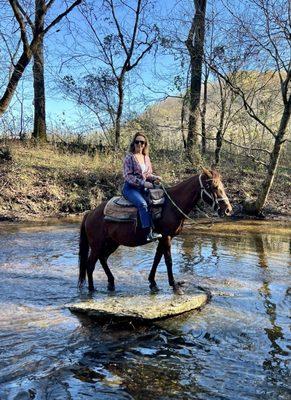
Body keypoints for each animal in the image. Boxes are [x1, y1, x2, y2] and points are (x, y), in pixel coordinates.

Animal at [79, 168, 233, 294]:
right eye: (214, 187)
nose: (228, 209)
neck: (171, 206)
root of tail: (90, 213)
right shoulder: (166, 237)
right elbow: (168, 260)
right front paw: (175, 286)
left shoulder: (161, 238)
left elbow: (157, 259)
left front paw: (153, 283)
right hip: (97, 244)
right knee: (90, 264)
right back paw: (92, 289)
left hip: (112, 243)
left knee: (103, 258)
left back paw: (111, 283)